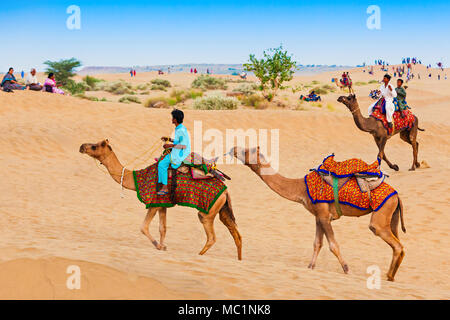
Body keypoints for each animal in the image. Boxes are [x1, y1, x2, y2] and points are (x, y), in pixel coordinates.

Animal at [80, 140, 243, 260]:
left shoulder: (154, 202)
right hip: (223, 208)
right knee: (236, 234)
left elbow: (143, 227)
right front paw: (163, 247)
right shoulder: (163, 204)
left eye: (94, 146)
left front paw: (158, 246)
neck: (136, 179)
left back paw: (198, 254)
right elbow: (162, 228)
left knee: (211, 236)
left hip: (208, 210)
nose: (82, 146)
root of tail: (225, 191)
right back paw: (239, 260)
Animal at [230, 146, 406, 282]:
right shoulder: (318, 216)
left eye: (247, 151)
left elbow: (333, 245)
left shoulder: (323, 215)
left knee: (392, 241)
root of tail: (397, 195)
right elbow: (317, 244)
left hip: (381, 215)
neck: (301, 188)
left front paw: (347, 269)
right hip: (392, 216)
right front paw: (310, 267)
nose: (234, 149)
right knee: (398, 243)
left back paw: (389, 276)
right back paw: (391, 276)